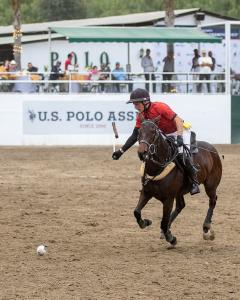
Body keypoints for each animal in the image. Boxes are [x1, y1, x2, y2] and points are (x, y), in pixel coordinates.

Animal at [133, 117, 221, 246]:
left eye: (153, 132)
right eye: (139, 131)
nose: (142, 153)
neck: (157, 168)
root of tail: (212, 149)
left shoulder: (168, 199)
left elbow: (164, 221)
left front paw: (171, 238)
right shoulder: (146, 192)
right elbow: (137, 212)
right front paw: (146, 222)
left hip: (210, 185)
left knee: (212, 201)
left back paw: (206, 229)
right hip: (180, 192)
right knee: (181, 206)